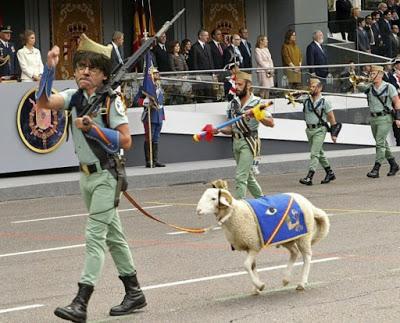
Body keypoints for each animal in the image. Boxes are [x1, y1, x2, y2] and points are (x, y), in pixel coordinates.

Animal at [195, 181, 330, 294]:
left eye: (213, 198)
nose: (198, 210)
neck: (235, 213)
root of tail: (309, 205)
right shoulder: (248, 247)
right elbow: (252, 266)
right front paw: (256, 288)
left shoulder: (254, 245)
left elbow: (246, 265)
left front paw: (260, 285)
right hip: (286, 238)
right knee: (294, 252)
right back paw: (286, 279)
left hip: (304, 237)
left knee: (307, 256)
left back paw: (301, 283)